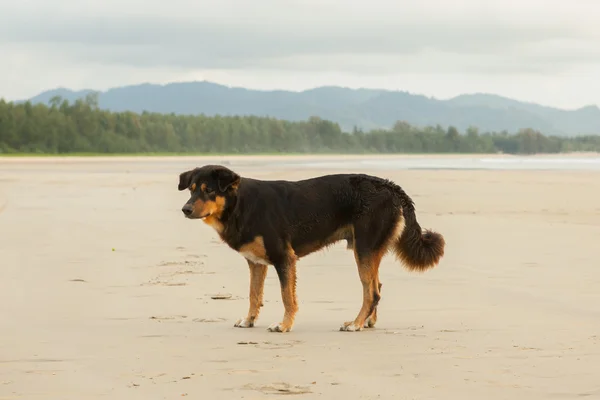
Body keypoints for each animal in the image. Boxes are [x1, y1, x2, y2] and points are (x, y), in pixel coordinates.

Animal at [178, 164, 446, 332]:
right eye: (191, 189)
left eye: (209, 190)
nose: (185, 209)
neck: (241, 205)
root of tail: (389, 186)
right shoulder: (256, 263)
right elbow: (254, 295)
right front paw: (249, 320)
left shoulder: (284, 258)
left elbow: (287, 297)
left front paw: (284, 325)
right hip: (370, 251)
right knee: (377, 286)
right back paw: (368, 321)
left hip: (364, 250)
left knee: (372, 292)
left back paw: (355, 324)